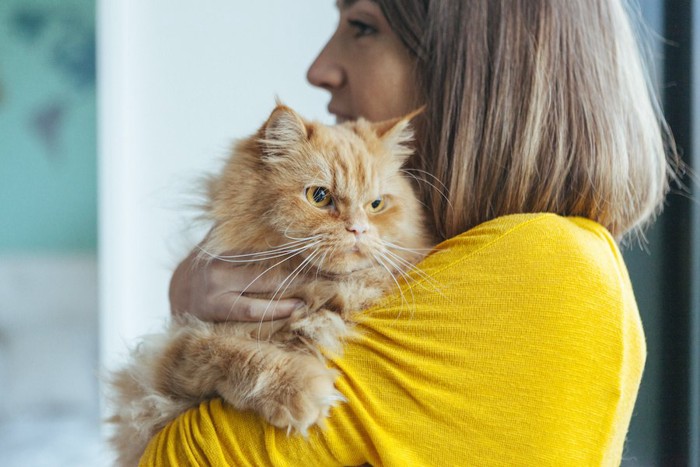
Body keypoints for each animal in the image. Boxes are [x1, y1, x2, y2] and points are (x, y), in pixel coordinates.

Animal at [108, 104, 432, 466]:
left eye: (376, 205)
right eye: (319, 196)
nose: (359, 229)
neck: (319, 294)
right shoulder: (168, 365)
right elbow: (234, 354)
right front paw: (300, 391)